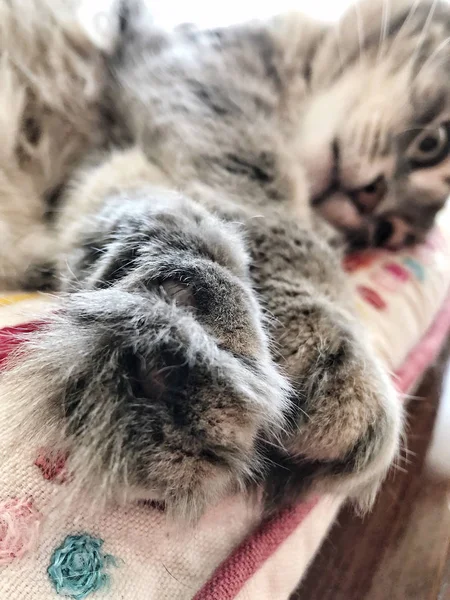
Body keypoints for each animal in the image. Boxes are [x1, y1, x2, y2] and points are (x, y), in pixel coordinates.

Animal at [1, 0, 448, 516]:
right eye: (434, 143)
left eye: (383, 234)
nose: (370, 205)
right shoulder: (204, 72)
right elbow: (270, 210)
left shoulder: (111, 166)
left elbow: (145, 220)